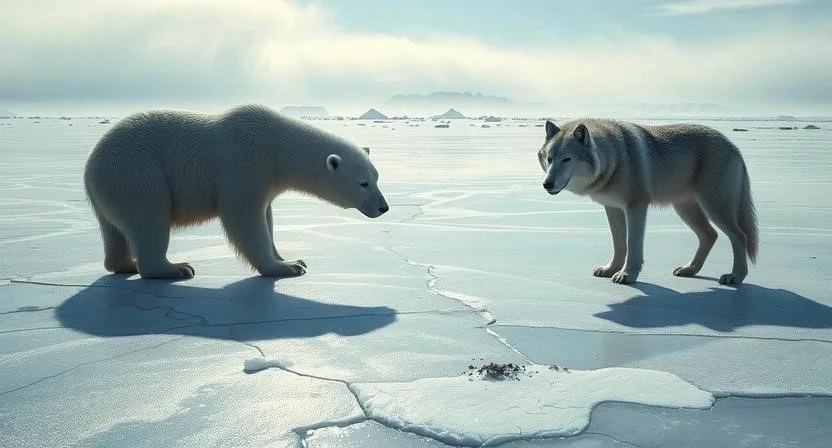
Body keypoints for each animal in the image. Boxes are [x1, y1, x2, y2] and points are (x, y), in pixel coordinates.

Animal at [537, 119, 758, 285]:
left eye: (567, 159)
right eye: (549, 158)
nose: (547, 184)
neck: (614, 158)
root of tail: (733, 146)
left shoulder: (636, 207)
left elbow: (632, 244)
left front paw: (627, 275)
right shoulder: (613, 208)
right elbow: (619, 244)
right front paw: (610, 269)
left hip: (714, 207)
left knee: (740, 236)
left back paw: (736, 276)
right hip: (685, 209)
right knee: (710, 235)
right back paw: (690, 269)